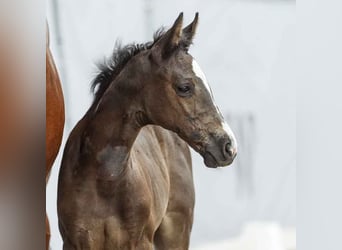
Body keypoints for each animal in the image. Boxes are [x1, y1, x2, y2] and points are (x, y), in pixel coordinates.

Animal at [57, 13, 236, 250]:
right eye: (184, 87)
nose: (228, 146)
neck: (104, 179)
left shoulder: (141, 241)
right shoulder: (75, 242)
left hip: (177, 230)